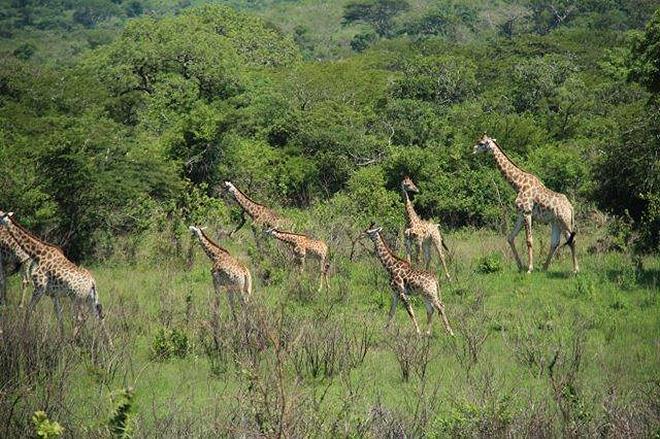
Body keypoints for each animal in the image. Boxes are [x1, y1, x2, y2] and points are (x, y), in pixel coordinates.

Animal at [0, 211, 113, 346]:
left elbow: (29, 310)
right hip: (90, 299)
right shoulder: (54, 295)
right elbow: (59, 316)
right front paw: (61, 340)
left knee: (81, 317)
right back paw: (110, 345)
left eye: (0, 215)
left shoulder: (39, 288)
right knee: (99, 316)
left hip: (77, 298)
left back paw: (72, 341)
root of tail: (92, 283)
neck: (38, 254)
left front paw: (23, 337)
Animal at [474, 134, 576, 274]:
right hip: (556, 222)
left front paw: (529, 268)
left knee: (572, 239)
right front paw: (520, 266)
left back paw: (575, 270)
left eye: (482, 143)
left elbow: (529, 240)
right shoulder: (520, 214)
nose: (473, 150)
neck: (518, 184)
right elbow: (510, 237)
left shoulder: (527, 212)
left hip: (564, 220)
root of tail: (570, 207)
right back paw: (544, 268)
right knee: (555, 242)